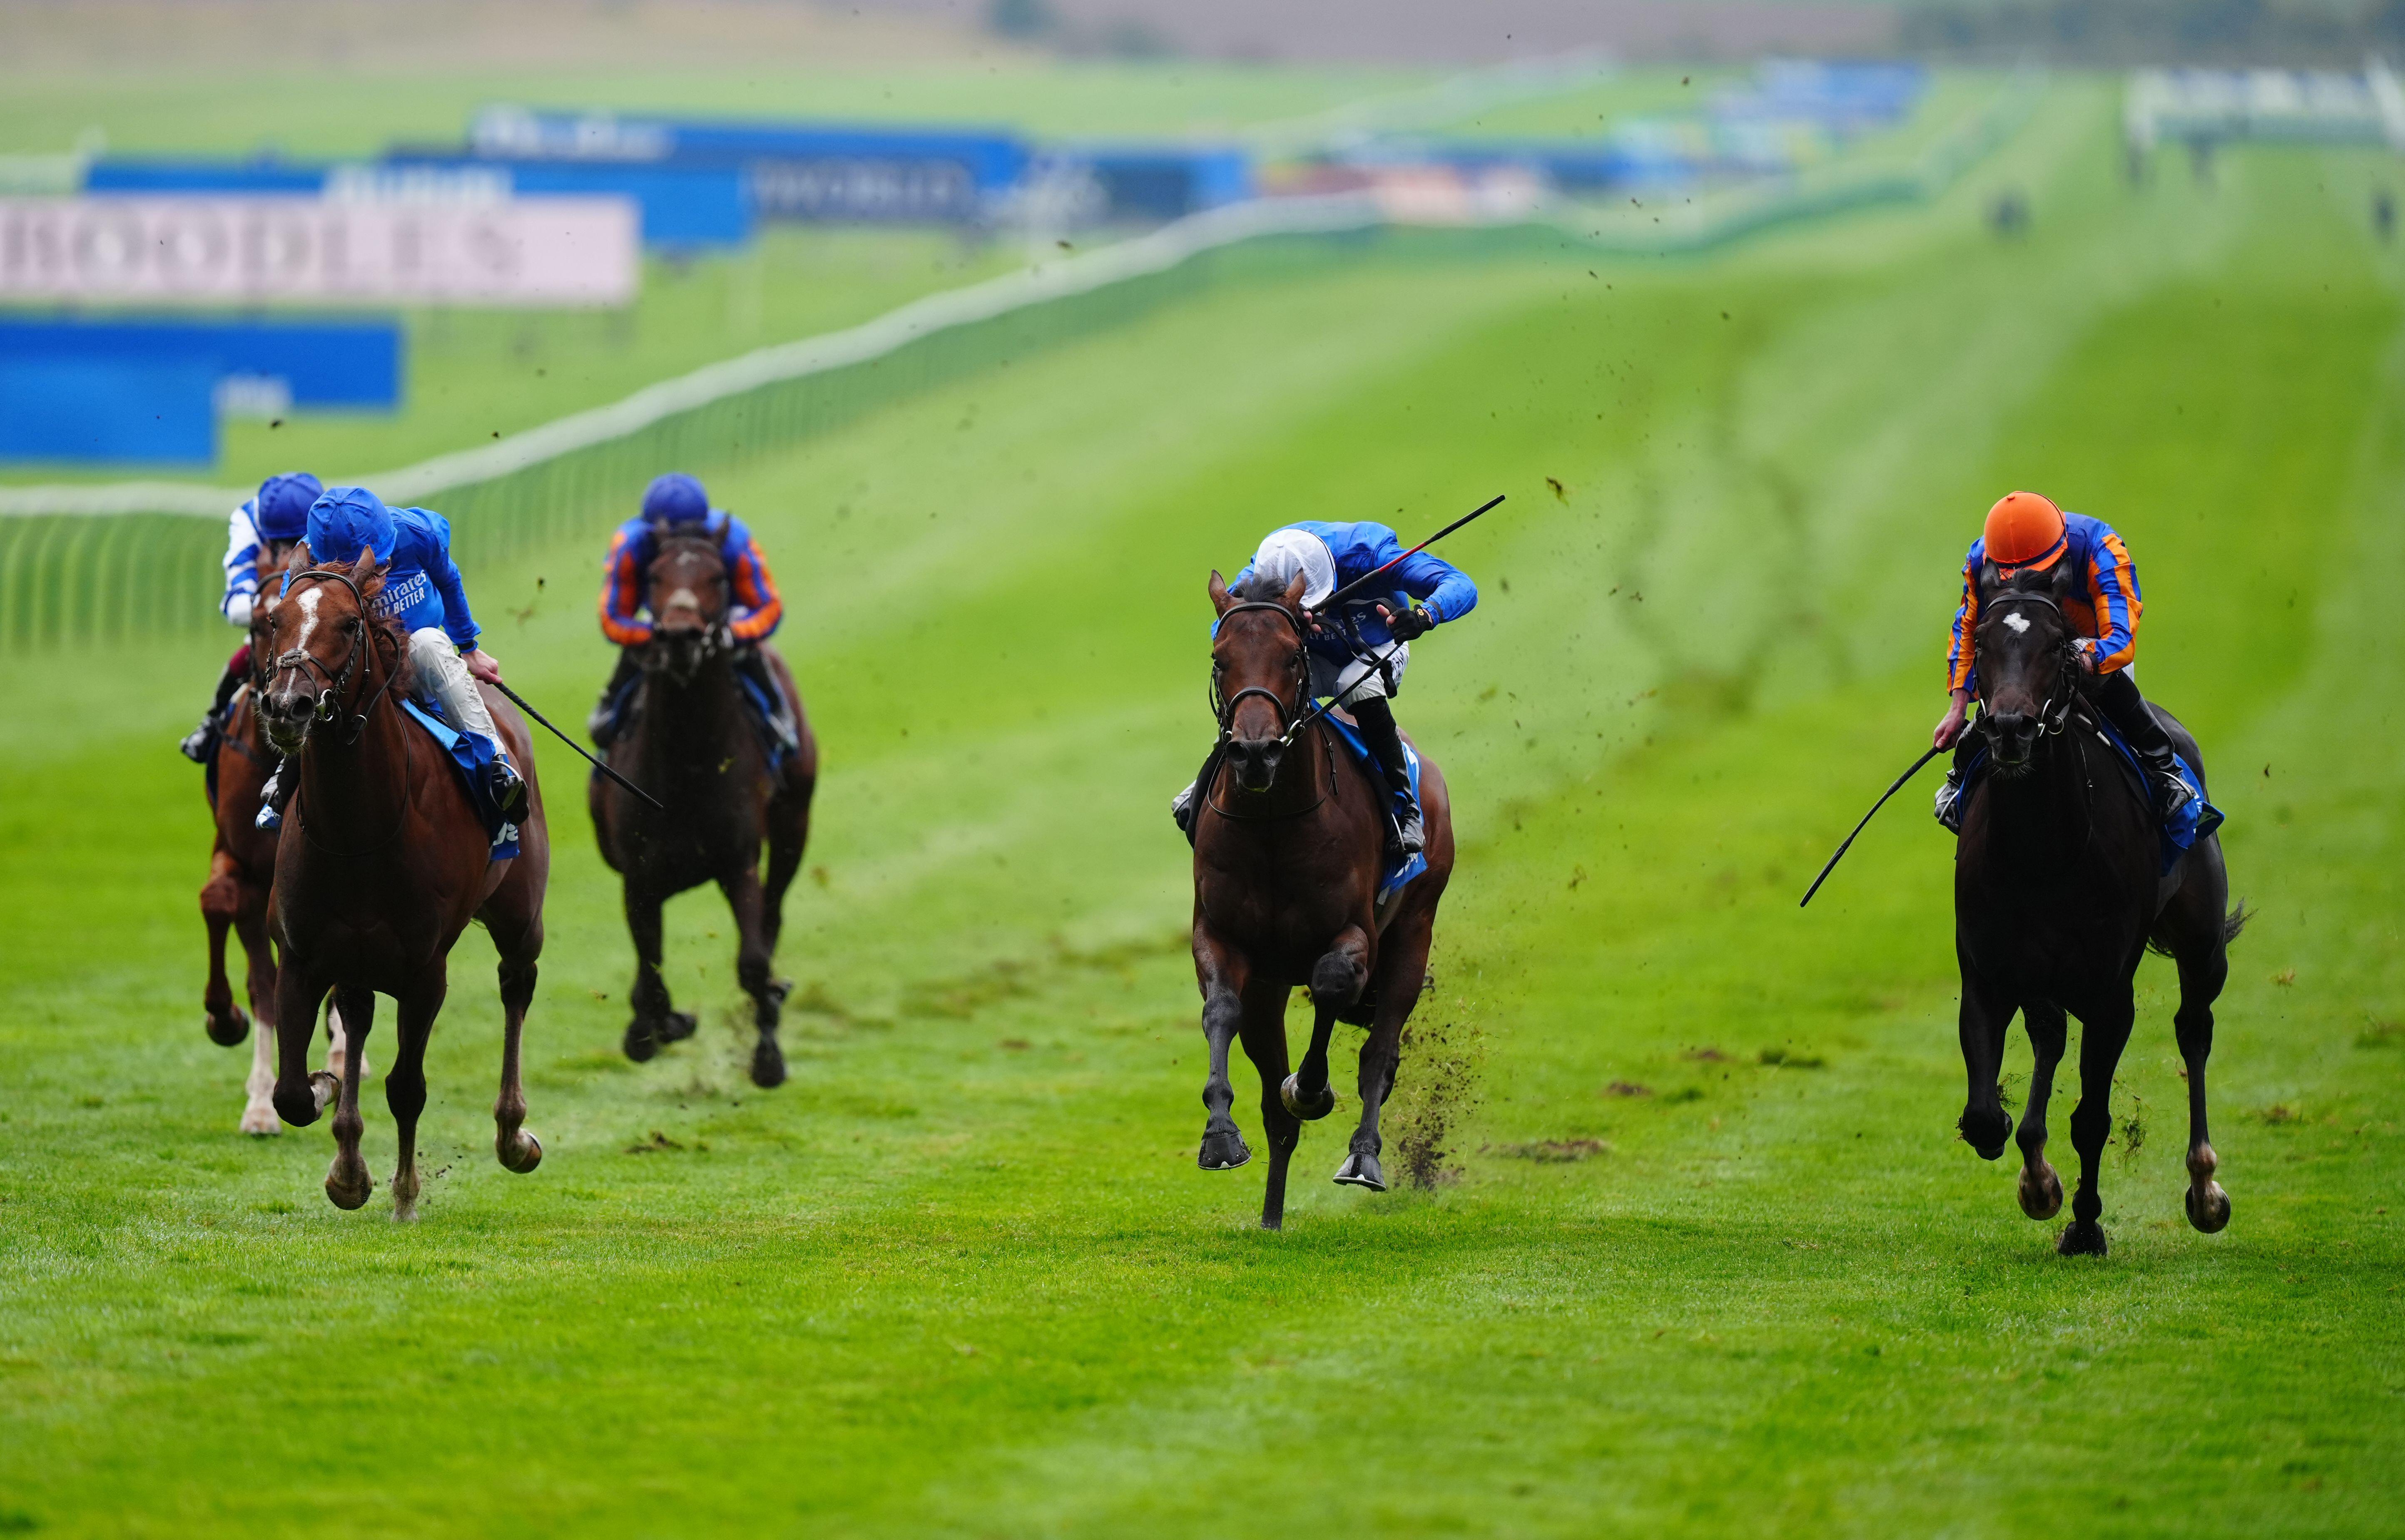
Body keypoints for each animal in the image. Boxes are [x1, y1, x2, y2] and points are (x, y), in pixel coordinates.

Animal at [255, 548, 553, 1222]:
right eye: (275, 620)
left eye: (348, 624)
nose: (288, 706)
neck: (358, 830)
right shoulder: (303, 956)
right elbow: (292, 1093)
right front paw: (338, 1134)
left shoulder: (425, 970)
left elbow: (407, 1087)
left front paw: (406, 1195)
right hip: (358, 960)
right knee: (360, 1013)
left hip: (520, 915)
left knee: (517, 986)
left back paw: (513, 1133)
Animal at [589, 534, 817, 1087]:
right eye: (654, 576)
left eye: (717, 576)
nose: (680, 636)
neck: (686, 763)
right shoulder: (640, 876)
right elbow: (649, 976)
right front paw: (654, 1028)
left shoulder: (738, 862)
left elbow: (753, 962)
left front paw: (768, 1055)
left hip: (793, 826)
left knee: (774, 912)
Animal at [1193, 565, 1452, 1227]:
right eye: (1220, 659)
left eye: (1292, 654)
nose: (1254, 751)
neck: (1273, 824)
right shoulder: (1223, 938)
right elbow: (1221, 1011)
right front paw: (1220, 1137)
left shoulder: (1353, 933)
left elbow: (1335, 986)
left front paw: (1311, 1088)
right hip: (1271, 984)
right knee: (1274, 1100)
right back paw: (1271, 1214)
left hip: (1414, 931)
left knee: (1379, 1051)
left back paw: (1363, 1156)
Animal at [1953, 558, 2232, 1261]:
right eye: (1983, 642)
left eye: (2056, 645)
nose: (2011, 728)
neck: (2042, 851)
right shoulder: (1989, 970)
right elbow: (1984, 1116)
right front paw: (2039, 1179)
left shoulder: (2110, 992)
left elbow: (2093, 1117)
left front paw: (2084, 1223)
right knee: (2050, 1033)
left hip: (2202, 945)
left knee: (2194, 1029)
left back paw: (2205, 1187)